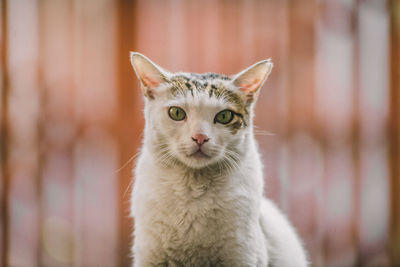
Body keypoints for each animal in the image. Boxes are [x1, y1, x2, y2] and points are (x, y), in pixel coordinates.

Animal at [130, 52, 308, 267]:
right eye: (176, 113)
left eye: (224, 116)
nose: (200, 137)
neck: (193, 191)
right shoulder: (150, 257)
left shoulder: (242, 254)